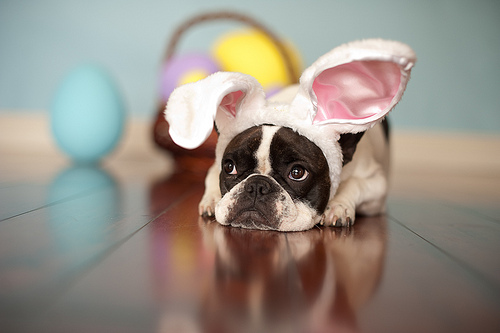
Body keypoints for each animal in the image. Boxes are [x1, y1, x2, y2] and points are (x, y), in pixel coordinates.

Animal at [166, 39, 416, 231]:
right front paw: (212, 198)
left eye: (298, 173)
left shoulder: (376, 184)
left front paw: (338, 206)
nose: (256, 185)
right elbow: (210, 178)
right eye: (229, 167)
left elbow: (354, 184)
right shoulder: (214, 168)